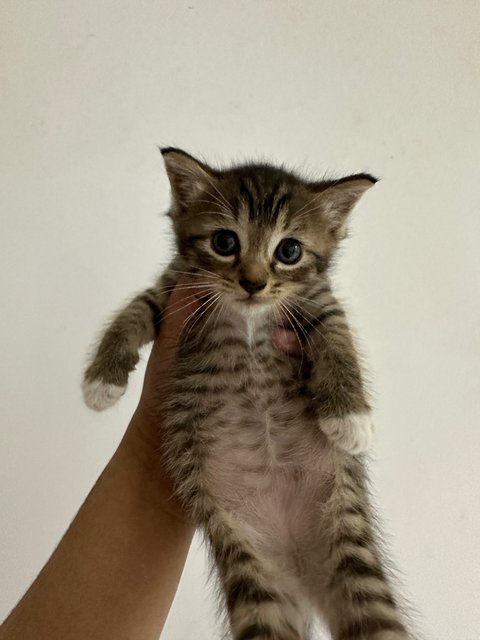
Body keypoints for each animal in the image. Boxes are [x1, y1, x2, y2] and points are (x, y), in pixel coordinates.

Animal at [82, 150, 412, 640]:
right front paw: (101, 382)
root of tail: (297, 563)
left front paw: (350, 417)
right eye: (225, 242)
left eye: (289, 251)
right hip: (251, 572)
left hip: (354, 557)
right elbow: (133, 312)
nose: (253, 283)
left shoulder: (320, 304)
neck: (250, 317)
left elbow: (338, 341)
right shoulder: (172, 289)